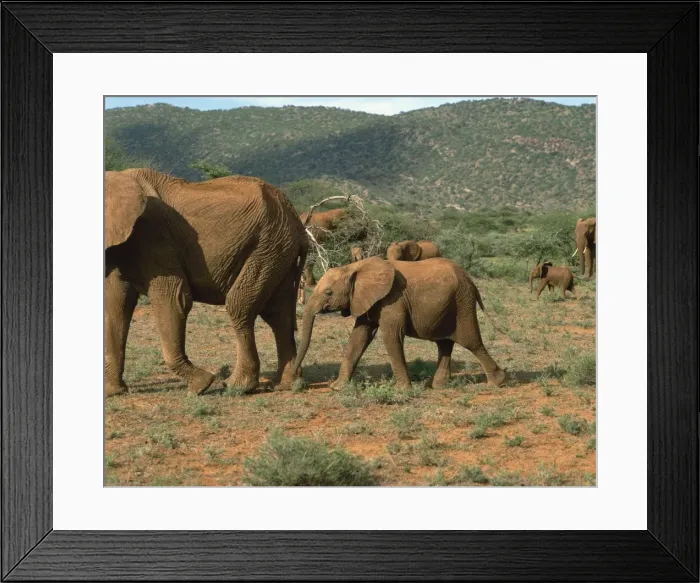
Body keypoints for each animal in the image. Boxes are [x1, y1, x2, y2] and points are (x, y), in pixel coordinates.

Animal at [104, 168, 308, 397]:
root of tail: (296, 221)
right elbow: (116, 305)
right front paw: (113, 392)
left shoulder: (153, 236)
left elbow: (173, 298)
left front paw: (201, 386)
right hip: (279, 251)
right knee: (278, 314)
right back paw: (286, 384)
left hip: (268, 246)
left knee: (239, 306)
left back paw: (237, 387)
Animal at [292, 257, 506, 390]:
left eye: (329, 293)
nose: (296, 379)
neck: (355, 267)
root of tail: (471, 281)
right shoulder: (367, 300)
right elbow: (359, 337)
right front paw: (337, 388)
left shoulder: (393, 299)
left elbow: (391, 336)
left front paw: (401, 390)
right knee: (444, 343)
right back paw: (436, 386)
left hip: (462, 303)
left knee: (471, 342)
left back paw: (497, 383)